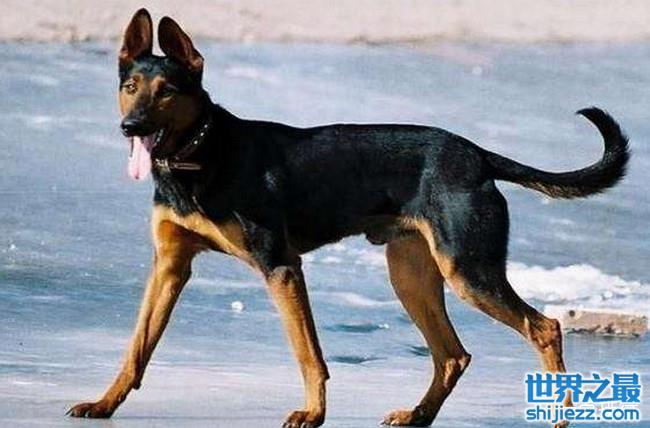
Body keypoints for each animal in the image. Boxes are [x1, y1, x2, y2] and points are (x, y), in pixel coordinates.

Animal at [67, 8, 630, 428]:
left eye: (166, 91)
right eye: (131, 85)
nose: (130, 126)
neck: (198, 156)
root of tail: (476, 154)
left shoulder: (281, 267)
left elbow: (308, 354)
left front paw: (313, 414)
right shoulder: (169, 266)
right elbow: (136, 347)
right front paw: (104, 402)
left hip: (468, 272)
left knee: (545, 328)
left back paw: (560, 414)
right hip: (411, 275)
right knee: (453, 354)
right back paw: (418, 414)